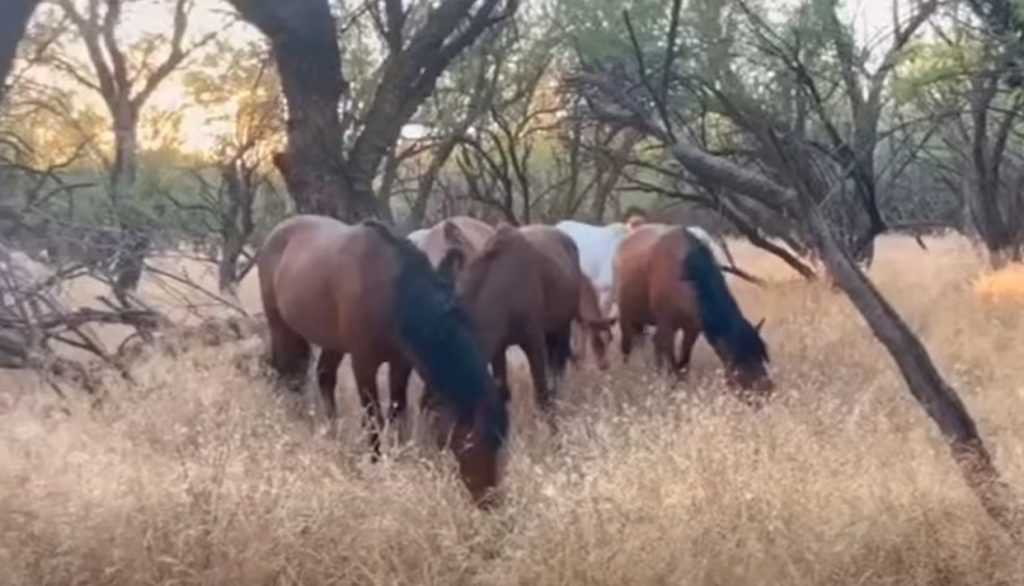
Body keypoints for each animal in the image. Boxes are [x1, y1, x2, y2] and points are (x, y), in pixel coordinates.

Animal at [257, 215, 508, 506]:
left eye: (500, 443)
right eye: (473, 442)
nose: (490, 501)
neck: (391, 293)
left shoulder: (401, 363)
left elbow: (397, 412)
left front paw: (398, 458)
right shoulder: (363, 362)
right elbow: (374, 417)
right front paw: (376, 463)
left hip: (333, 343)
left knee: (322, 377)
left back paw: (331, 433)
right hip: (280, 326)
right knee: (284, 373)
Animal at [446, 224, 615, 425]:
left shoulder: (534, 341)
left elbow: (542, 394)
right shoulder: (498, 349)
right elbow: (504, 393)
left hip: (560, 328)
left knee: (558, 368)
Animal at [614, 224, 773, 399]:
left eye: (761, 354)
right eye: (738, 362)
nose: (766, 391)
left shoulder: (692, 328)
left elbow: (683, 360)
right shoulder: (667, 324)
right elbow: (671, 359)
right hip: (626, 313)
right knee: (628, 346)